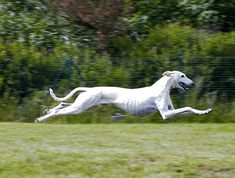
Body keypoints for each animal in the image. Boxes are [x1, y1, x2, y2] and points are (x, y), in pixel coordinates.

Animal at [34, 71, 211, 122]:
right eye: (182, 76)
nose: (193, 83)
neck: (162, 89)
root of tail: (89, 89)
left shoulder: (172, 111)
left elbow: (189, 110)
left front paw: (204, 111)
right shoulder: (166, 114)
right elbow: (187, 107)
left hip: (81, 104)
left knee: (62, 105)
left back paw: (47, 111)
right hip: (80, 107)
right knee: (61, 111)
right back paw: (42, 118)